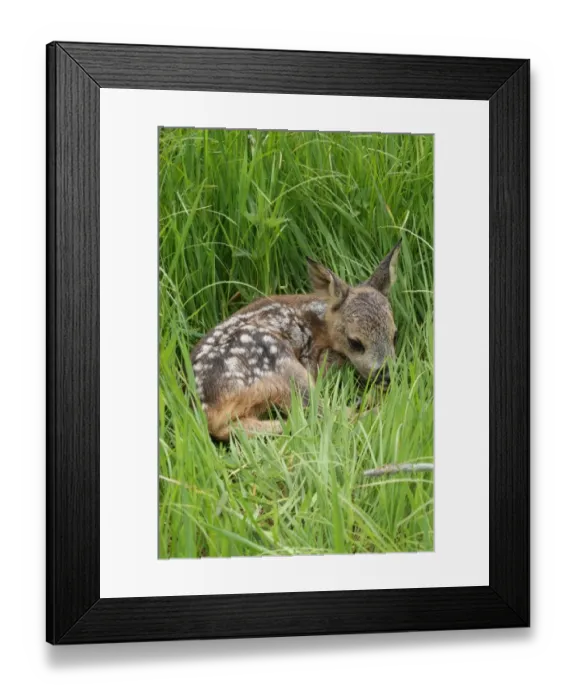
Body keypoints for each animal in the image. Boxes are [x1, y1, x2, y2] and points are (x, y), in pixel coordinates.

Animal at [190, 239, 402, 441]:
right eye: (355, 342)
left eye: (395, 335)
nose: (386, 375)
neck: (320, 324)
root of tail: (205, 407)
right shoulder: (310, 357)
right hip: (278, 361)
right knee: (324, 413)